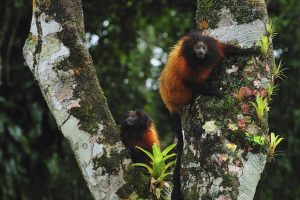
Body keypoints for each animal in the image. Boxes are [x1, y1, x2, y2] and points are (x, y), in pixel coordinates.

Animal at [159, 30, 258, 199]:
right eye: (197, 48)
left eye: (203, 48)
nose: (200, 51)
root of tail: (170, 104)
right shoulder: (185, 65)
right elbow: (190, 81)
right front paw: (215, 92)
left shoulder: (214, 48)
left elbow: (227, 49)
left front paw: (248, 51)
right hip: (179, 94)